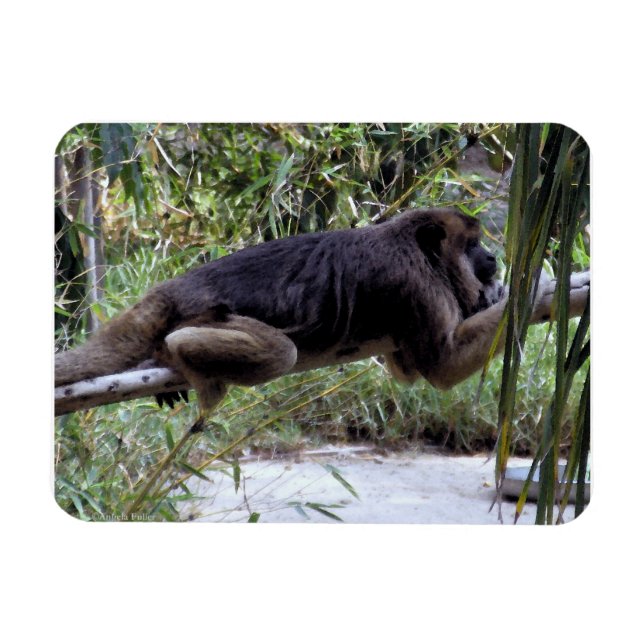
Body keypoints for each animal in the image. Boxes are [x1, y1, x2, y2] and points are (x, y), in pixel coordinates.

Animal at [55, 208, 589, 418]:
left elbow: (411, 369)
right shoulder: (414, 283)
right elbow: (440, 366)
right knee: (279, 353)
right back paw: (176, 351)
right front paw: (533, 285)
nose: (494, 257)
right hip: (205, 312)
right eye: (474, 245)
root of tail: (177, 284)